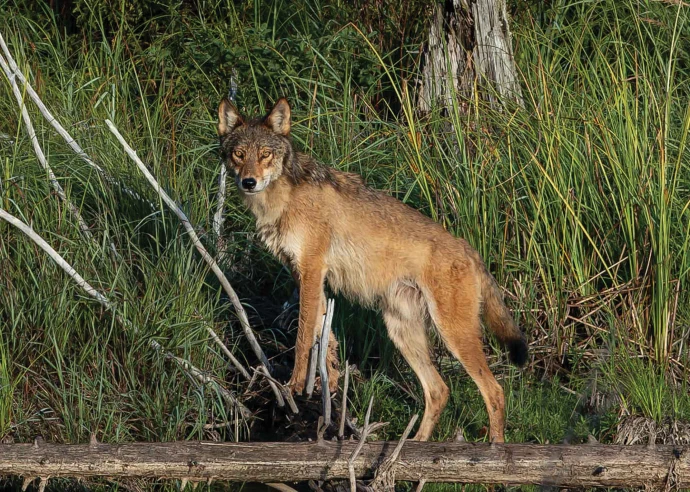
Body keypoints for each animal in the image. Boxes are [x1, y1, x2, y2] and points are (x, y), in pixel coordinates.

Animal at [217, 97, 528, 442]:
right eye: (239, 154)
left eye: (265, 154)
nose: (249, 181)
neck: (282, 200)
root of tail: (470, 250)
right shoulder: (310, 280)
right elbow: (325, 343)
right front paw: (328, 393)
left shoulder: (311, 272)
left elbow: (302, 340)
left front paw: (295, 388)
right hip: (401, 331)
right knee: (440, 390)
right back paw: (416, 445)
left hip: (453, 334)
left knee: (494, 390)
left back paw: (494, 449)